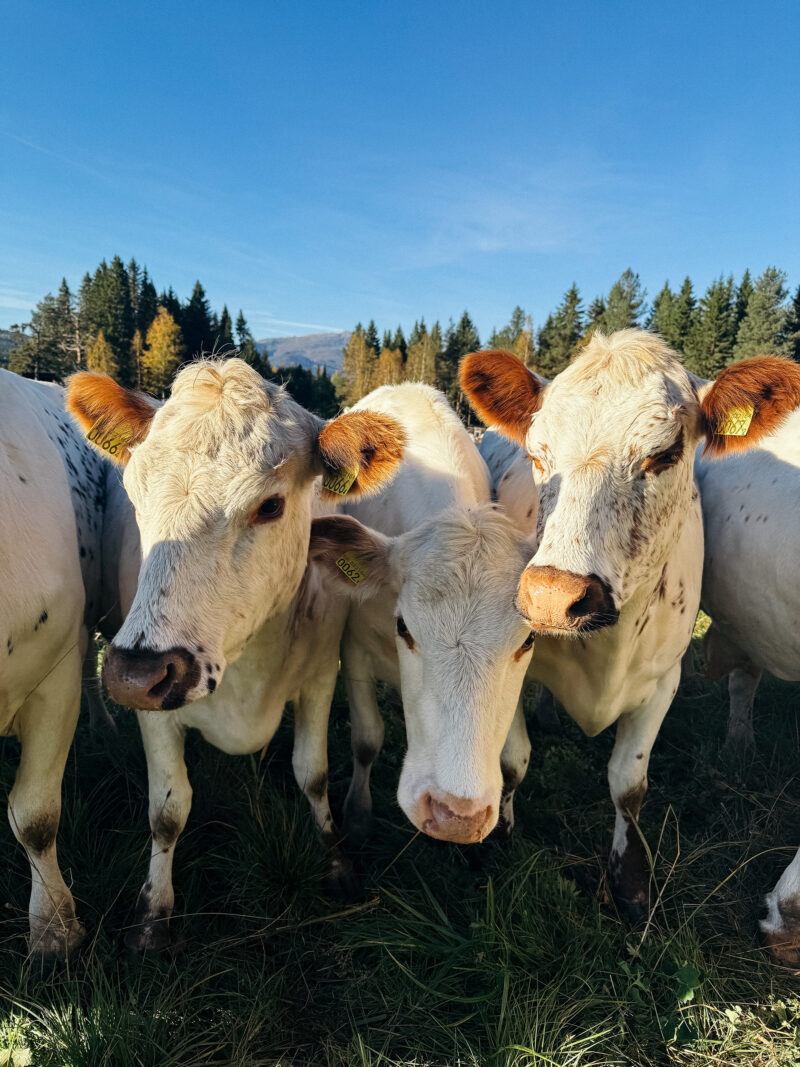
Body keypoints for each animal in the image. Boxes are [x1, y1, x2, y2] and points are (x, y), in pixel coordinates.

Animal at [66, 358, 405, 950]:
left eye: (270, 505)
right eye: (135, 493)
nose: (136, 673)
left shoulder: (322, 674)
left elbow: (312, 772)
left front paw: (337, 861)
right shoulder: (154, 710)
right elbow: (167, 809)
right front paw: (152, 913)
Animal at [307, 383, 536, 846]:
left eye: (529, 640)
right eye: (404, 627)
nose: (456, 816)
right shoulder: (354, 645)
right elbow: (367, 739)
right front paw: (357, 814)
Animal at [462, 329, 800, 923]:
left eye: (664, 454)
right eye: (537, 452)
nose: (552, 596)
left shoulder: (662, 681)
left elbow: (629, 785)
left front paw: (630, 883)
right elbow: (512, 761)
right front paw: (496, 841)